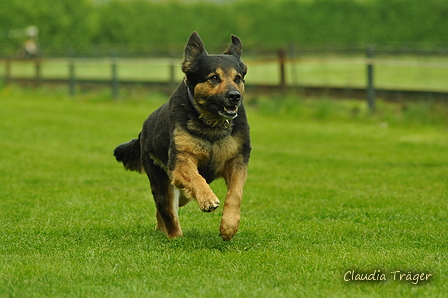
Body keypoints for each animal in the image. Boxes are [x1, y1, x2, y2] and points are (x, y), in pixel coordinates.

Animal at [114, 31, 250, 241]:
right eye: (214, 77)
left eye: (238, 78)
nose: (235, 96)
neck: (211, 124)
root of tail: (144, 129)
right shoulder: (180, 163)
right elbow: (196, 179)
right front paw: (207, 198)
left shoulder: (237, 161)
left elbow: (235, 194)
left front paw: (229, 226)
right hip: (163, 182)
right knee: (168, 210)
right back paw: (174, 235)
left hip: (181, 193)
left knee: (168, 208)